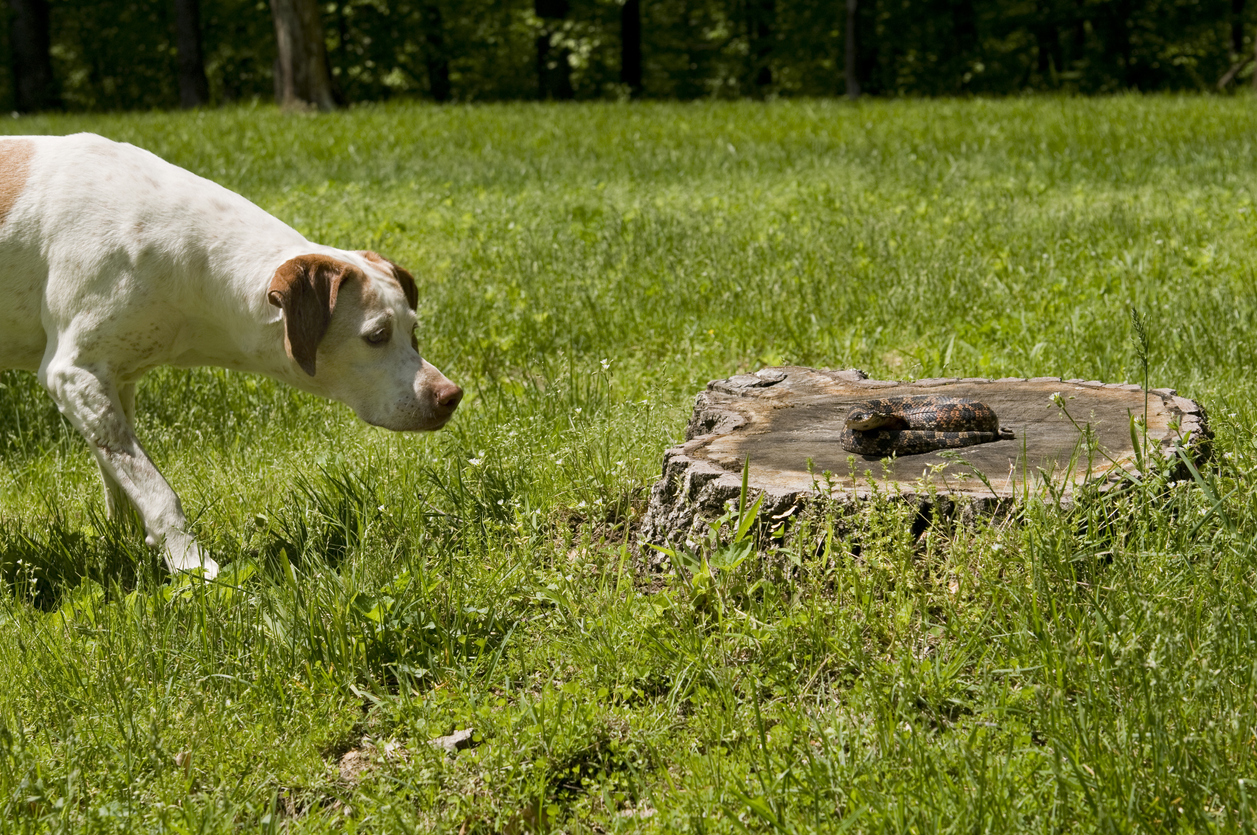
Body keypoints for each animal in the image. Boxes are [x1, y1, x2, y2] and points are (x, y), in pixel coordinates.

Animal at [0, 135, 462, 580]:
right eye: (376, 336)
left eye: (413, 331)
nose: (451, 396)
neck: (184, 258)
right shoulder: (73, 373)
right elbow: (153, 487)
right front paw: (188, 560)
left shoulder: (115, 378)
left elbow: (116, 472)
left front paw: (126, 543)